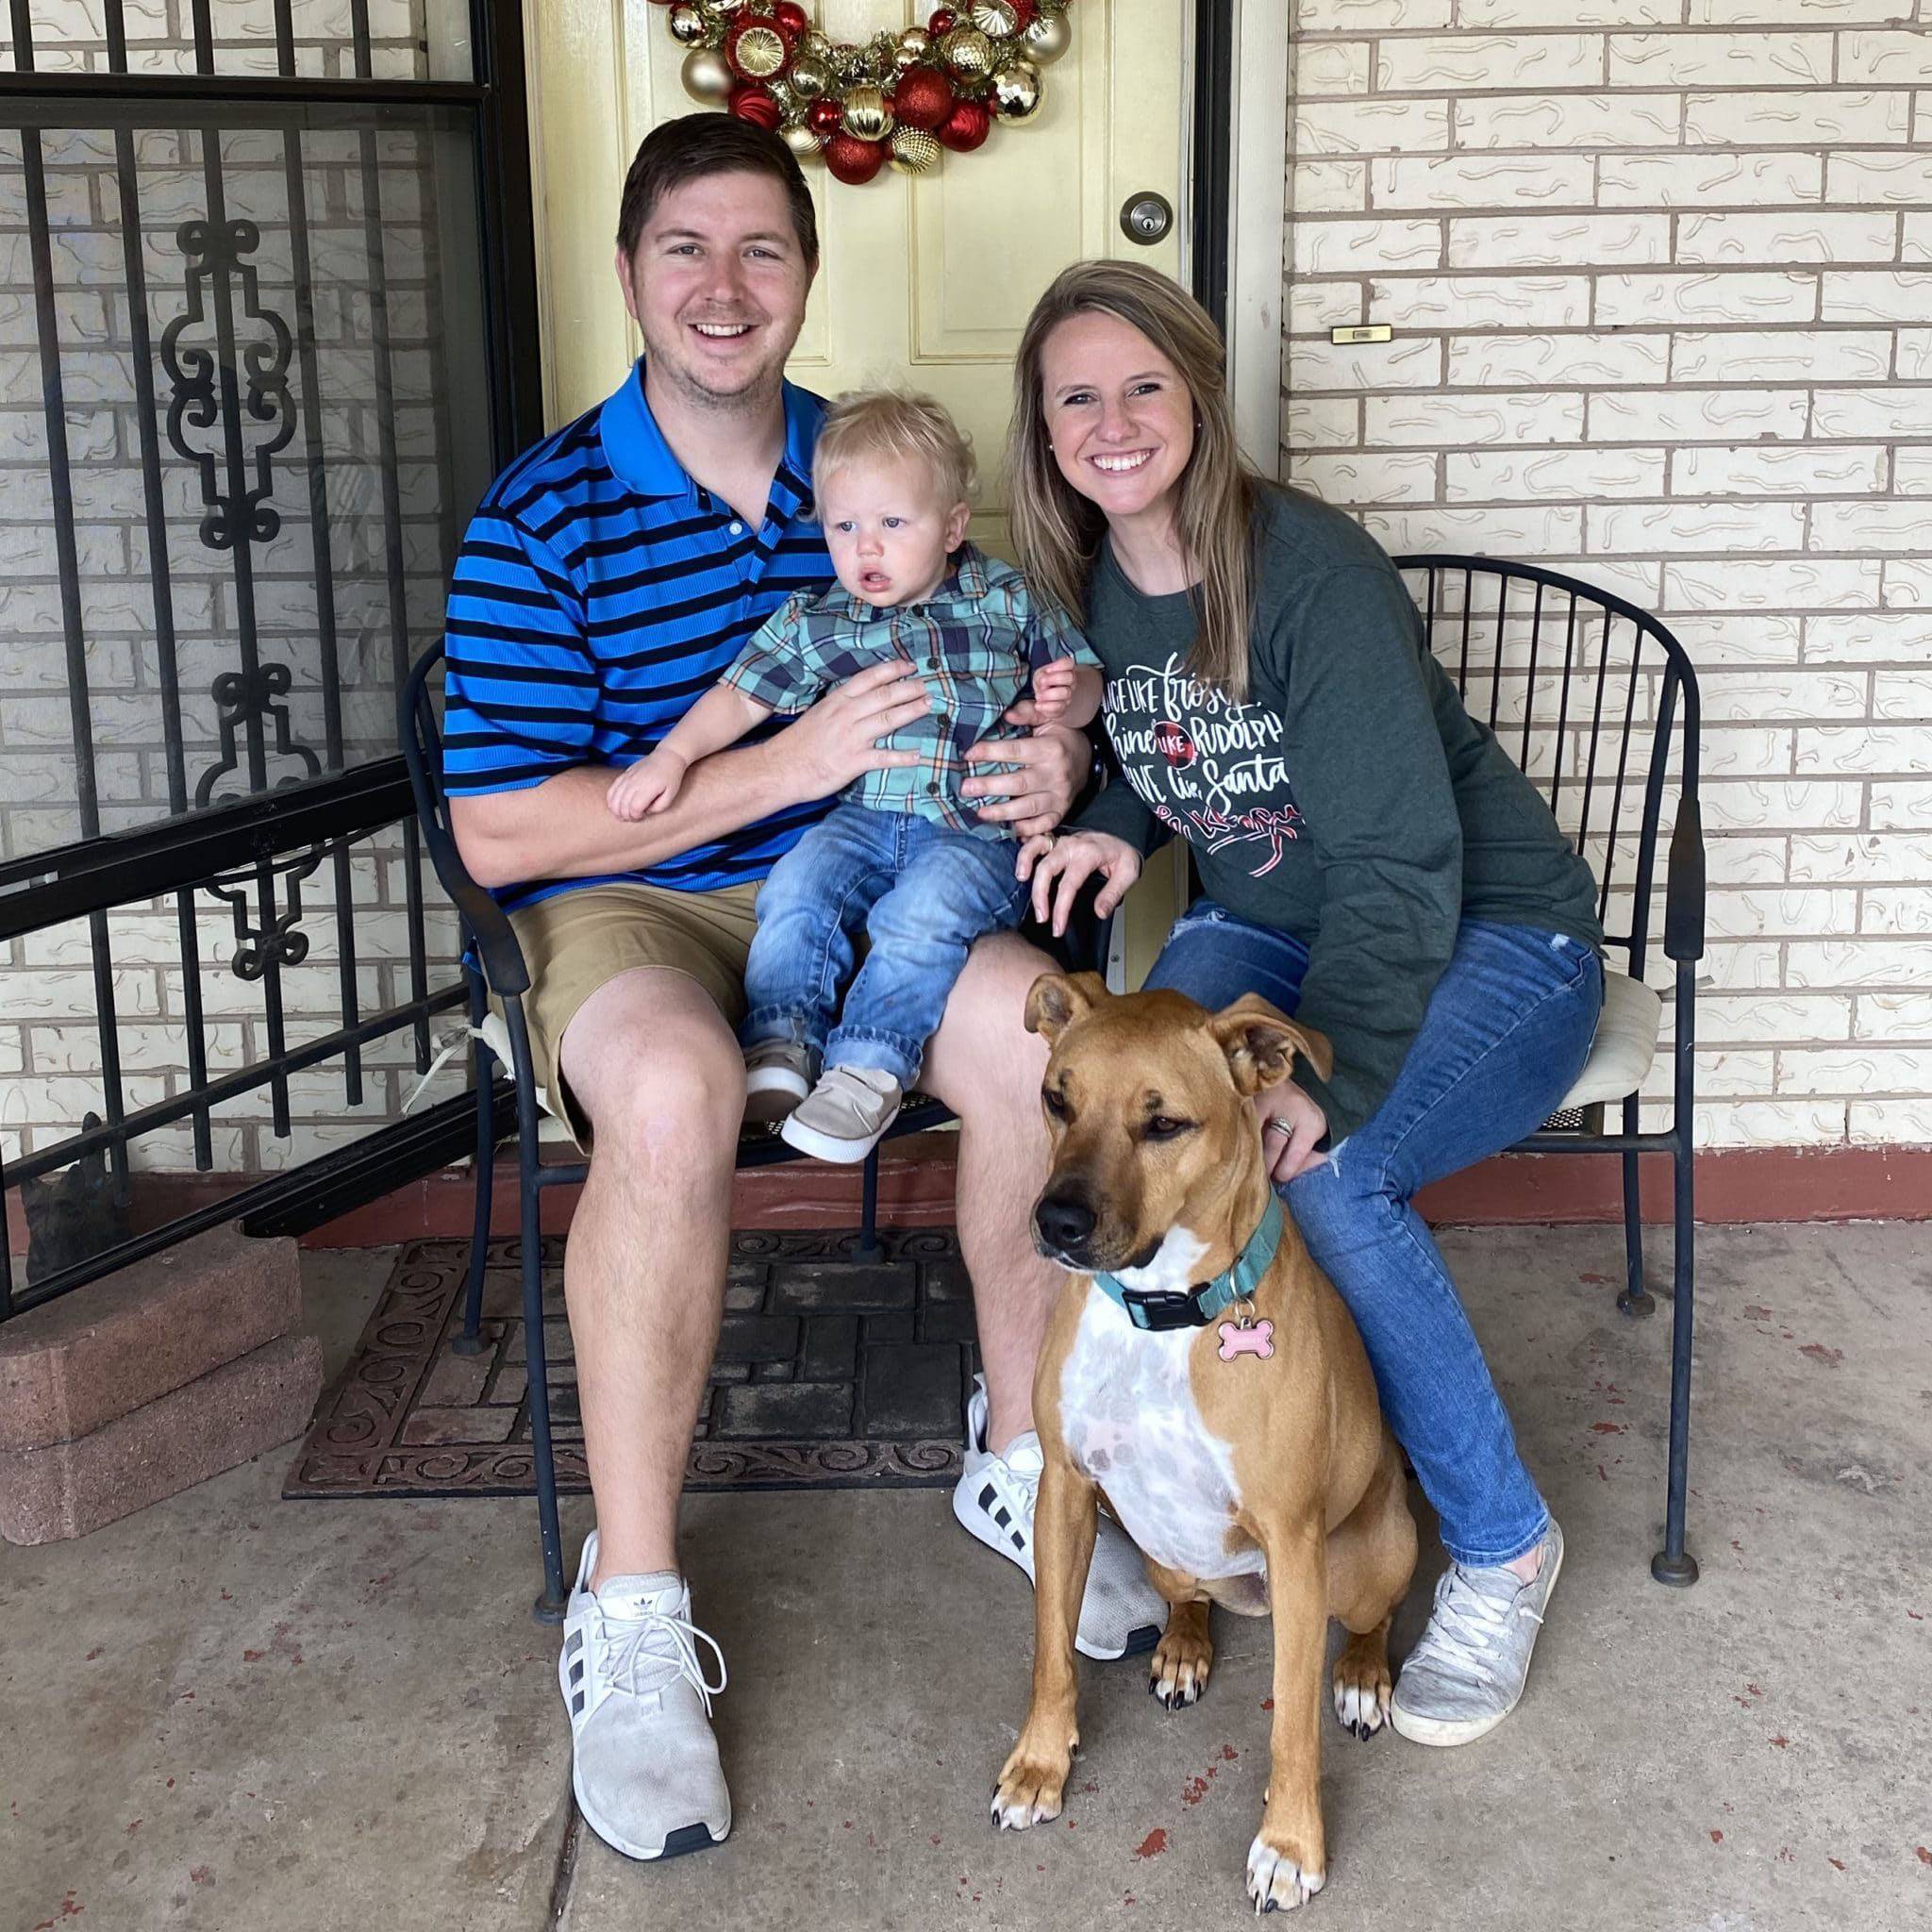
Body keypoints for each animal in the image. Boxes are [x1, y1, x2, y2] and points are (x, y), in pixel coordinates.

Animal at [996, 974, 1422, 1908]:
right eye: (1056, 1100)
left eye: (1164, 1125)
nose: (1057, 1221)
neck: (1160, 1311)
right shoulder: (1066, 1491)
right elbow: (1049, 1654)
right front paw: (1039, 1765)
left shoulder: (1294, 1540)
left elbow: (1291, 1721)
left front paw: (1290, 1845)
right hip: (1161, 1548)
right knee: (1185, 1596)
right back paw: (1185, 1647)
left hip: (1365, 1556)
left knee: (1370, 1621)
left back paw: (1362, 1675)